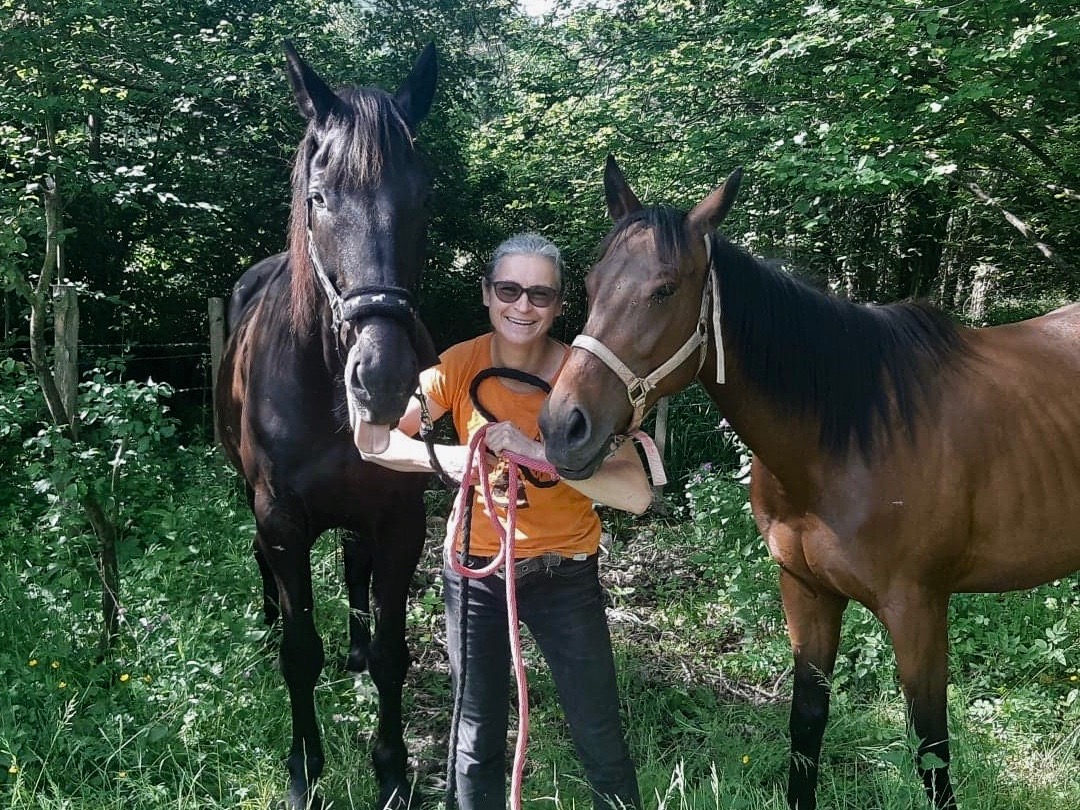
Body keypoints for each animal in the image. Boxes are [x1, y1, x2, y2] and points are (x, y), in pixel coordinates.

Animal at [214, 42, 438, 810]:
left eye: (421, 200)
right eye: (319, 198)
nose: (384, 378)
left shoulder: (400, 518)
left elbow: (394, 652)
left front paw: (392, 769)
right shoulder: (280, 518)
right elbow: (299, 654)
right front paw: (304, 769)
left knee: (352, 566)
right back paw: (264, 618)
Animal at [544, 155, 1080, 807]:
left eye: (664, 289)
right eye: (593, 282)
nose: (562, 427)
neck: (847, 434)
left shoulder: (919, 610)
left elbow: (932, 755)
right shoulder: (806, 592)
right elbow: (806, 725)